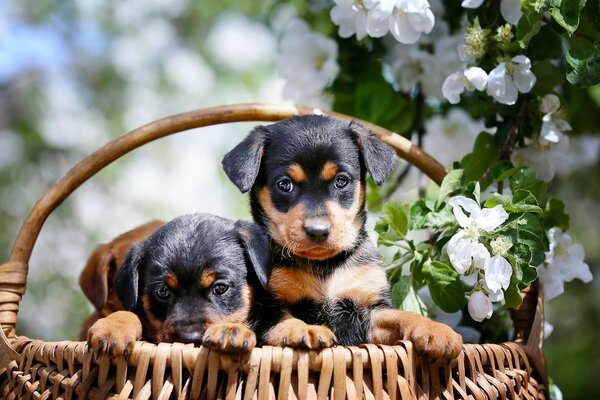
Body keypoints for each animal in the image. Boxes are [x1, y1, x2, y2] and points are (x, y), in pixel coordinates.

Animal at [86, 214, 274, 358]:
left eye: (221, 288)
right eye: (162, 291)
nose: (189, 337)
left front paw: (230, 331)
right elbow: (129, 313)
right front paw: (113, 328)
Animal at [224, 115, 464, 360]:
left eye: (341, 181)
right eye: (284, 184)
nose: (318, 230)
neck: (324, 267)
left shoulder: (371, 308)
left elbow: (402, 316)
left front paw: (436, 330)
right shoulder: (266, 307)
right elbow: (284, 321)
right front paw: (307, 330)